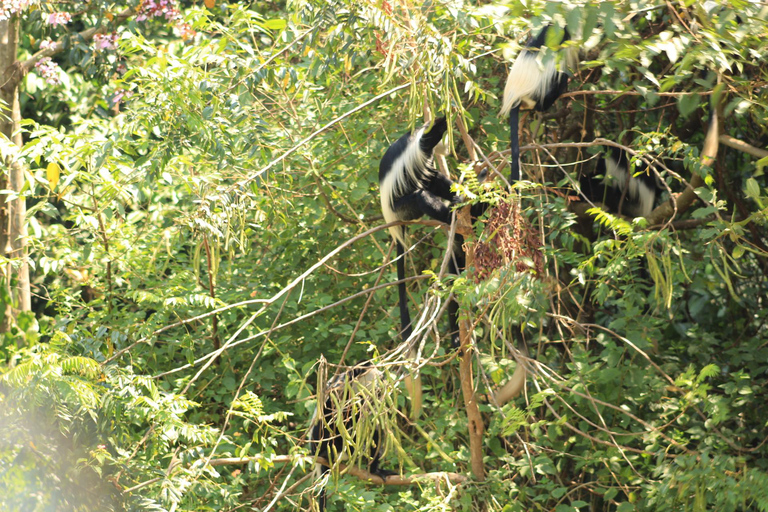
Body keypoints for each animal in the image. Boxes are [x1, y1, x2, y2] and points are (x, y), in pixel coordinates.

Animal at [308, 362, 392, 510]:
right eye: (380, 378)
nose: (384, 384)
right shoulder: (339, 391)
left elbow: (373, 428)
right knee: (327, 422)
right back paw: (327, 453)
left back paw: (372, 468)